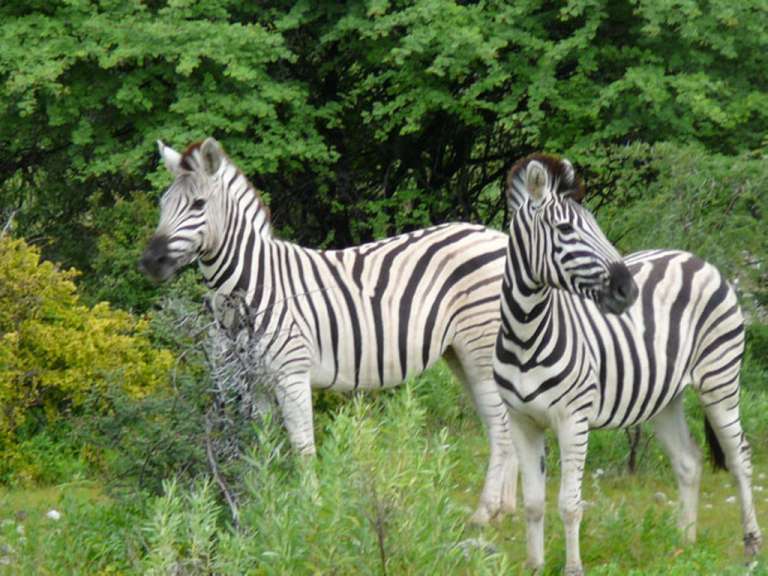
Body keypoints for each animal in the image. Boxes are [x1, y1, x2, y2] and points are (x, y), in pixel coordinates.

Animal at [139, 137, 517, 524]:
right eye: (163, 203)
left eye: (198, 204)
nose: (149, 263)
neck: (253, 284)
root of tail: (500, 237)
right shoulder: (254, 382)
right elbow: (261, 446)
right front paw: (266, 508)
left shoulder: (291, 373)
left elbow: (302, 447)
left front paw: (311, 512)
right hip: (461, 353)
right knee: (504, 423)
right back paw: (506, 508)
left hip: (482, 349)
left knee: (502, 427)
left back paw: (485, 512)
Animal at [492, 154, 762, 574]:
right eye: (565, 228)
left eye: (595, 224)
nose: (628, 290)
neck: (525, 333)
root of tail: (696, 259)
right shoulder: (522, 421)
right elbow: (533, 504)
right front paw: (535, 567)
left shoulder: (572, 418)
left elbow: (569, 504)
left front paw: (573, 568)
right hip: (665, 396)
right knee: (688, 461)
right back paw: (683, 545)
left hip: (719, 379)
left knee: (740, 458)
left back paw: (750, 544)